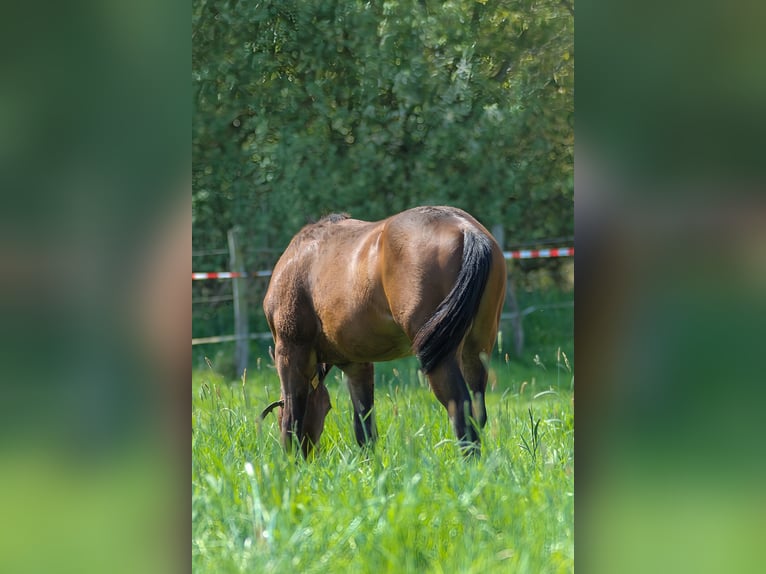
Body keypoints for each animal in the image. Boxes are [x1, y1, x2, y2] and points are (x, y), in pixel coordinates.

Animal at [261, 206, 506, 457]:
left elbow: (292, 417)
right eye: (327, 407)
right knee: (477, 409)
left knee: (460, 410)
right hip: (477, 350)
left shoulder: (290, 352)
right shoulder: (357, 364)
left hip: (442, 357)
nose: (310, 455)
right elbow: (364, 426)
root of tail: (466, 228)